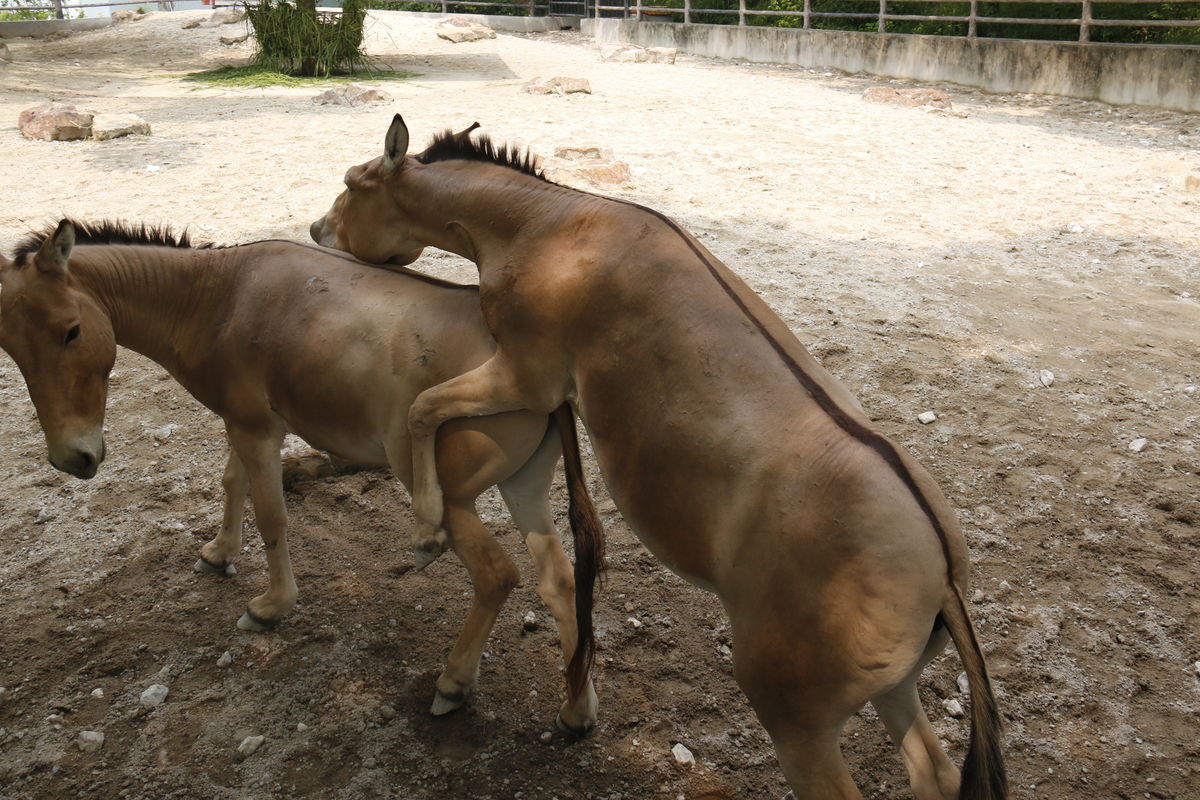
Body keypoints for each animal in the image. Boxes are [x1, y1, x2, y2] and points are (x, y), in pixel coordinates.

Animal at [0, 217, 600, 724]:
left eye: (71, 331)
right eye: (11, 347)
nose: (74, 459)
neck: (216, 296)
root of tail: (539, 377)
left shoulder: (255, 428)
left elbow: (271, 514)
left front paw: (270, 607)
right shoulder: (249, 423)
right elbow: (233, 483)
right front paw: (217, 554)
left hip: (453, 500)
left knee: (497, 576)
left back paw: (453, 683)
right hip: (524, 487)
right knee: (560, 580)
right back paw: (576, 710)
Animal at [312, 113, 1012, 800]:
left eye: (352, 181)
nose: (317, 230)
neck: (551, 226)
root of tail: (943, 575)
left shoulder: (525, 376)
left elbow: (422, 407)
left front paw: (427, 534)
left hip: (796, 719)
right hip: (894, 692)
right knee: (936, 775)